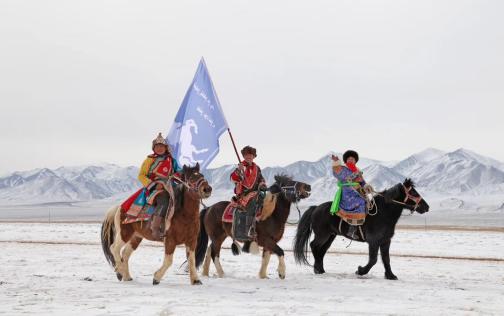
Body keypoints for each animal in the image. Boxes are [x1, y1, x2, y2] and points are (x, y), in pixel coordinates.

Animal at [296, 179, 430, 280]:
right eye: (413, 193)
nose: (426, 207)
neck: (383, 214)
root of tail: (316, 208)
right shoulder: (373, 242)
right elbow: (373, 260)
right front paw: (360, 271)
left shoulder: (386, 241)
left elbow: (386, 259)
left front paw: (391, 275)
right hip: (322, 235)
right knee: (314, 246)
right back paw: (317, 269)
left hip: (331, 236)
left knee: (321, 250)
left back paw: (321, 269)